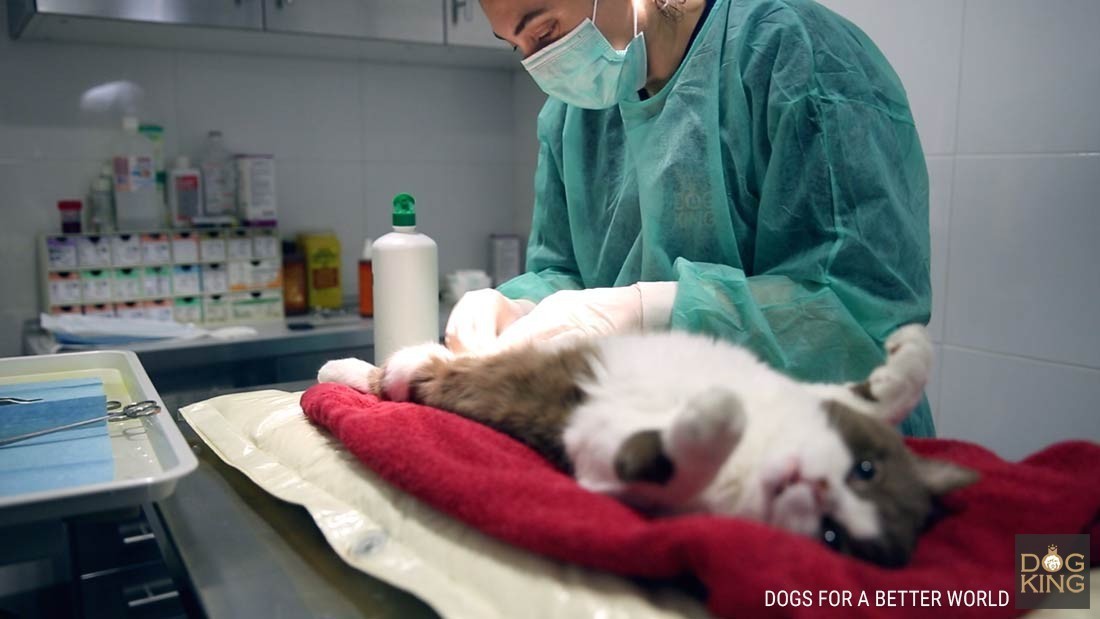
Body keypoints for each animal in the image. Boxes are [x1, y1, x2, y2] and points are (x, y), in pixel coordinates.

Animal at [321, 327, 981, 567]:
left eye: (832, 538)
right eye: (863, 469)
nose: (813, 486)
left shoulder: (597, 457)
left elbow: (665, 454)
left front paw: (713, 414)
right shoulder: (812, 393)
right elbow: (884, 390)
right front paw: (906, 351)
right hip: (436, 364)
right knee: (396, 368)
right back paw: (338, 369)